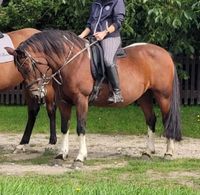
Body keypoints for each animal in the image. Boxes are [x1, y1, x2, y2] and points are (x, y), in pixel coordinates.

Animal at [5, 30, 181, 166]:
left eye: (28, 66)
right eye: (19, 69)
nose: (35, 93)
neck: (72, 62)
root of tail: (165, 53)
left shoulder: (81, 100)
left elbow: (81, 127)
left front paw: (80, 157)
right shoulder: (63, 102)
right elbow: (65, 127)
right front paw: (62, 154)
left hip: (163, 96)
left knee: (167, 120)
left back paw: (169, 152)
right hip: (144, 96)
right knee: (151, 120)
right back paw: (147, 152)